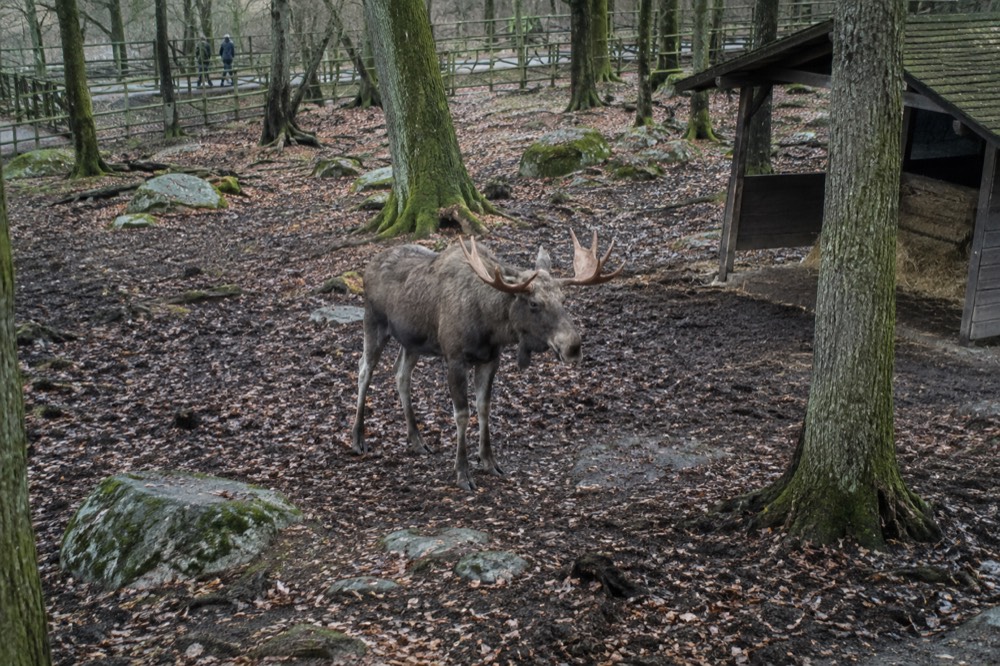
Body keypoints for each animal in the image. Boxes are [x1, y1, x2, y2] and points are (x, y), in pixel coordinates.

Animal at [350, 231, 622, 490]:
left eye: (564, 299)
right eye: (534, 303)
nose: (573, 346)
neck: (490, 325)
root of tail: (367, 267)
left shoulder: (491, 359)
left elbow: (484, 407)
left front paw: (489, 461)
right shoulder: (455, 357)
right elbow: (462, 414)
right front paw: (462, 473)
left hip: (412, 341)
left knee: (400, 374)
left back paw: (417, 440)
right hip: (374, 321)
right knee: (364, 369)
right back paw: (358, 439)